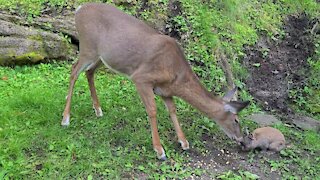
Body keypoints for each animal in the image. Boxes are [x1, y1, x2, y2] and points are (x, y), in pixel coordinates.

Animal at [60, 2, 250, 160]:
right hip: (87, 46)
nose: (242, 140)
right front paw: (159, 150)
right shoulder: (142, 78)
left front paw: (184, 142)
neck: (176, 75)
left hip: (102, 56)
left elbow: (172, 110)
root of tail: (78, 10)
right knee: (73, 71)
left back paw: (98, 110)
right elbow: (152, 110)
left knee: (89, 72)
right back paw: (66, 118)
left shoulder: (165, 91)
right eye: (236, 120)